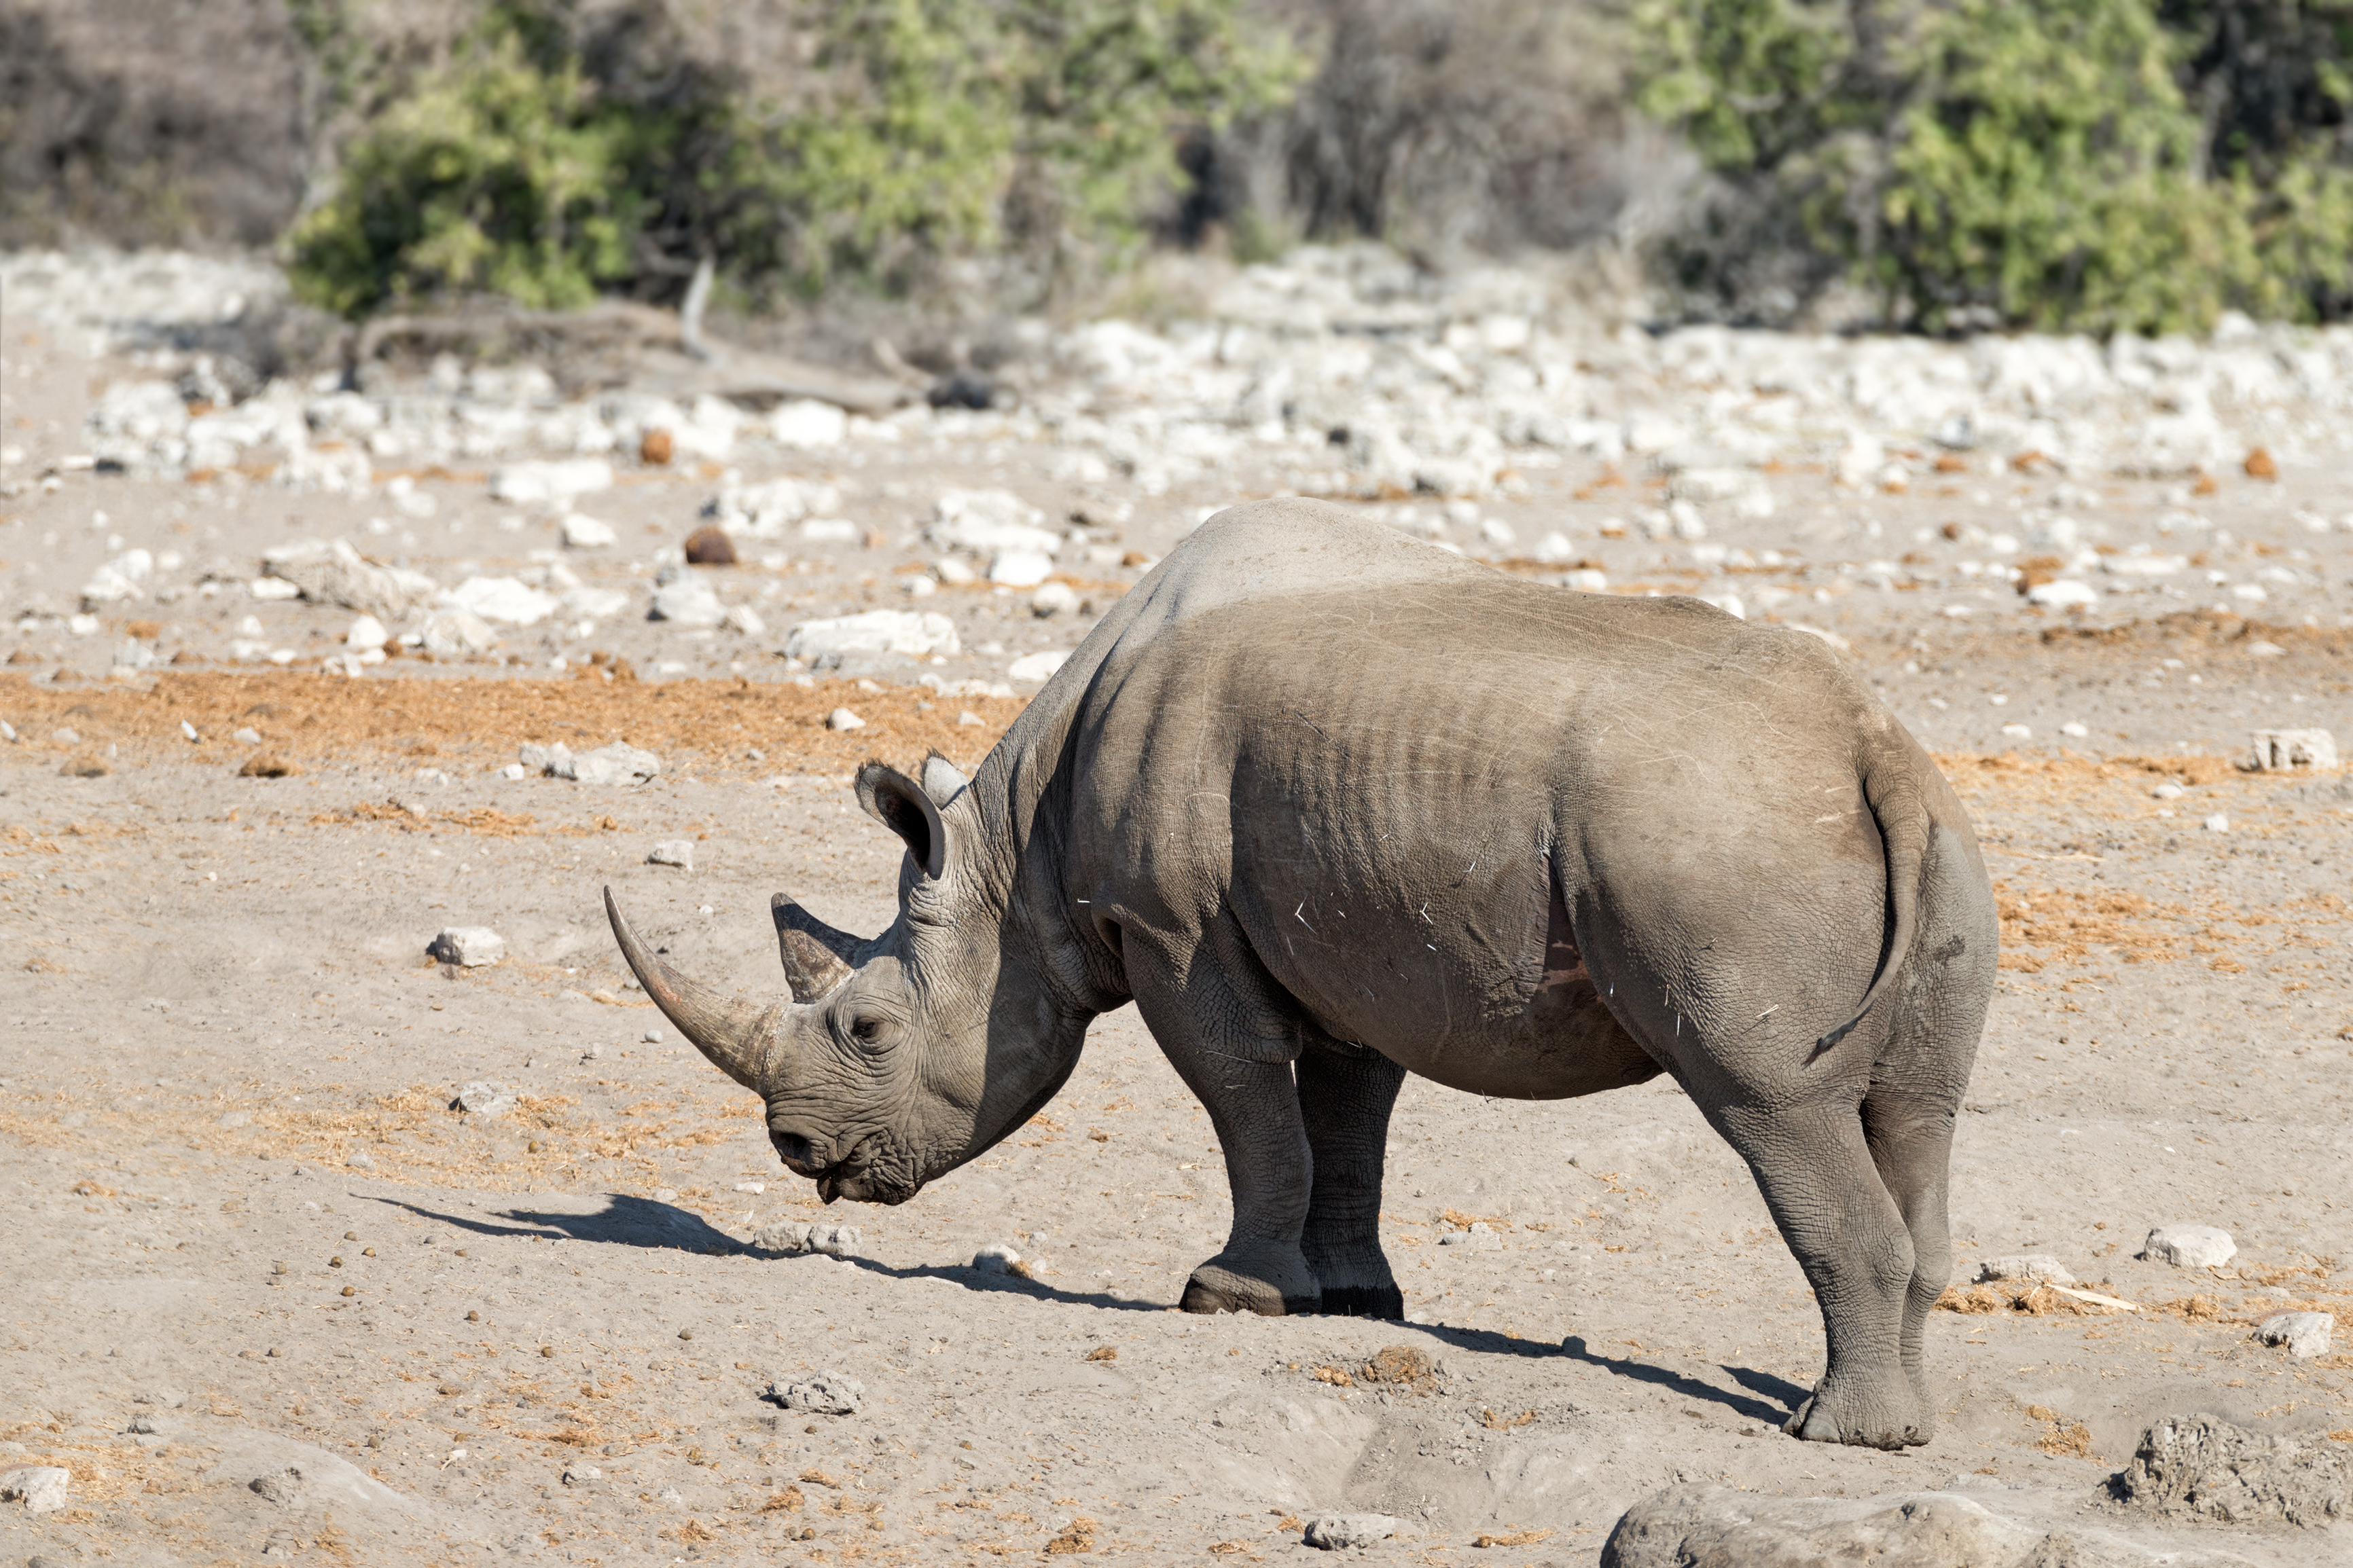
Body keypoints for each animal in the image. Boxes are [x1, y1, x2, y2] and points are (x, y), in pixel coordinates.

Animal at [606, 499, 1997, 1450]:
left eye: (868, 1027)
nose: (798, 1152)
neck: (1013, 859)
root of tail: (1871, 746)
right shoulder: (1350, 937)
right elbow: (1345, 1118)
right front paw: (1355, 1301)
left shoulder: (1174, 928)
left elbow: (1244, 1101)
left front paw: (1226, 1294)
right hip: (1928, 840)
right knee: (1913, 1111)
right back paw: (1893, 1418)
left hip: (1716, 849)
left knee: (1768, 1101)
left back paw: (1833, 1435)